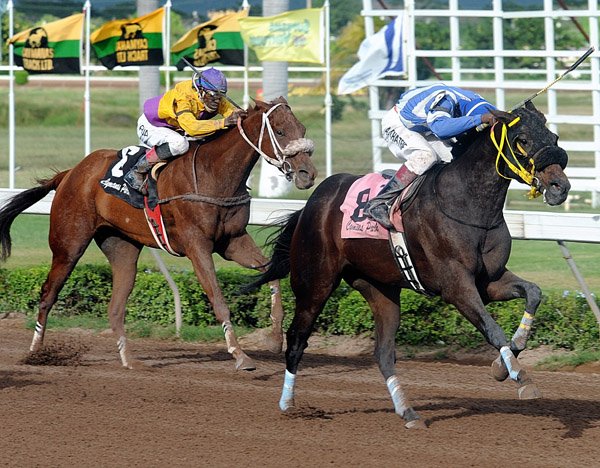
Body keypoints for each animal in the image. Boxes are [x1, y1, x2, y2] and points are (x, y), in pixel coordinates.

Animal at [0, 97, 318, 372]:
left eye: (302, 129)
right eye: (280, 131)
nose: (308, 174)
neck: (214, 174)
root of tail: (70, 173)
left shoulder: (233, 241)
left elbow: (271, 273)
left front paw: (274, 337)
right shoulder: (197, 245)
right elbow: (218, 299)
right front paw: (240, 356)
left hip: (122, 247)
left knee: (116, 307)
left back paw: (128, 359)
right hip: (69, 244)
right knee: (48, 294)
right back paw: (35, 352)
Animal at [245, 101, 572, 428]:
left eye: (554, 137)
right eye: (523, 140)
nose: (560, 187)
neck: (466, 203)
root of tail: (310, 206)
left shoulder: (488, 282)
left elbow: (533, 293)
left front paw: (504, 363)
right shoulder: (456, 287)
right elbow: (493, 330)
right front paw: (519, 376)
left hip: (380, 288)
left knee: (383, 353)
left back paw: (408, 411)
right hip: (315, 282)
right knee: (297, 339)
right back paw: (288, 403)